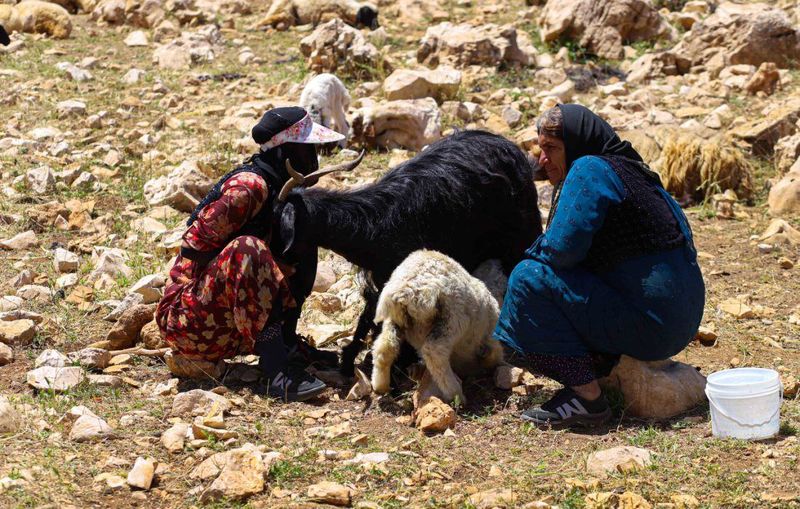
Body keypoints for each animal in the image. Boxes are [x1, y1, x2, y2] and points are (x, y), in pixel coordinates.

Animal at [272, 130, 540, 378]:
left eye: (275, 220)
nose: (277, 261)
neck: (372, 224)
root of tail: (512, 149)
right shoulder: (381, 279)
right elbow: (368, 316)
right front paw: (350, 362)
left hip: (522, 230)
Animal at [370, 248, 506, 402]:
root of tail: (408, 289)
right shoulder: (491, 335)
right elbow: (495, 352)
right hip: (452, 320)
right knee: (434, 352)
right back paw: (455, 394)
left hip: (395, 321)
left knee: (385, 347)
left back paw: (380, 385)